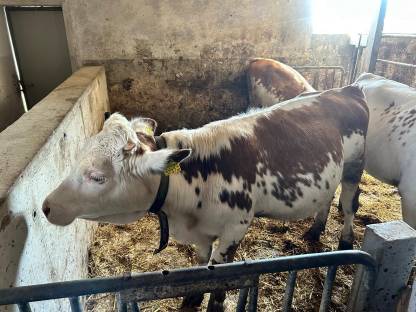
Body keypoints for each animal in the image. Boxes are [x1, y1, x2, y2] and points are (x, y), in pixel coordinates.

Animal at [42, 86, 368, 312]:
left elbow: (219, 283)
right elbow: (200, 269)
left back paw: (346, 240)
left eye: (97, 176)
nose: (46, 207)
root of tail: (345, 89)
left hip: (354, 166)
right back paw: (315, 230)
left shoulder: (235, 229)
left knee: (349, 204)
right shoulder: (199, 235)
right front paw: (191, 299)